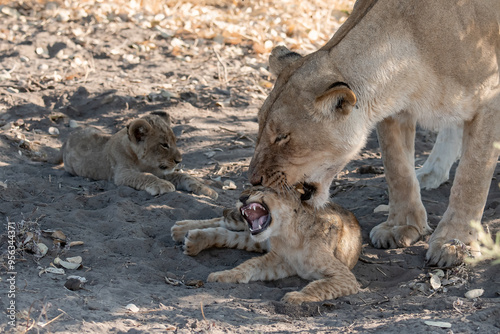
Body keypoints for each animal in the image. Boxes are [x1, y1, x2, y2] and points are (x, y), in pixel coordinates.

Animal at [248, 0, 498, 266]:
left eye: (282, 136)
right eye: (260, 125)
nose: (253, 179)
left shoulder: (491, 99)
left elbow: (472, 177)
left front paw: (455, 242)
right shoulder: (394, 108)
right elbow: (397, 170)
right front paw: (400, 227)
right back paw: (432, 173)